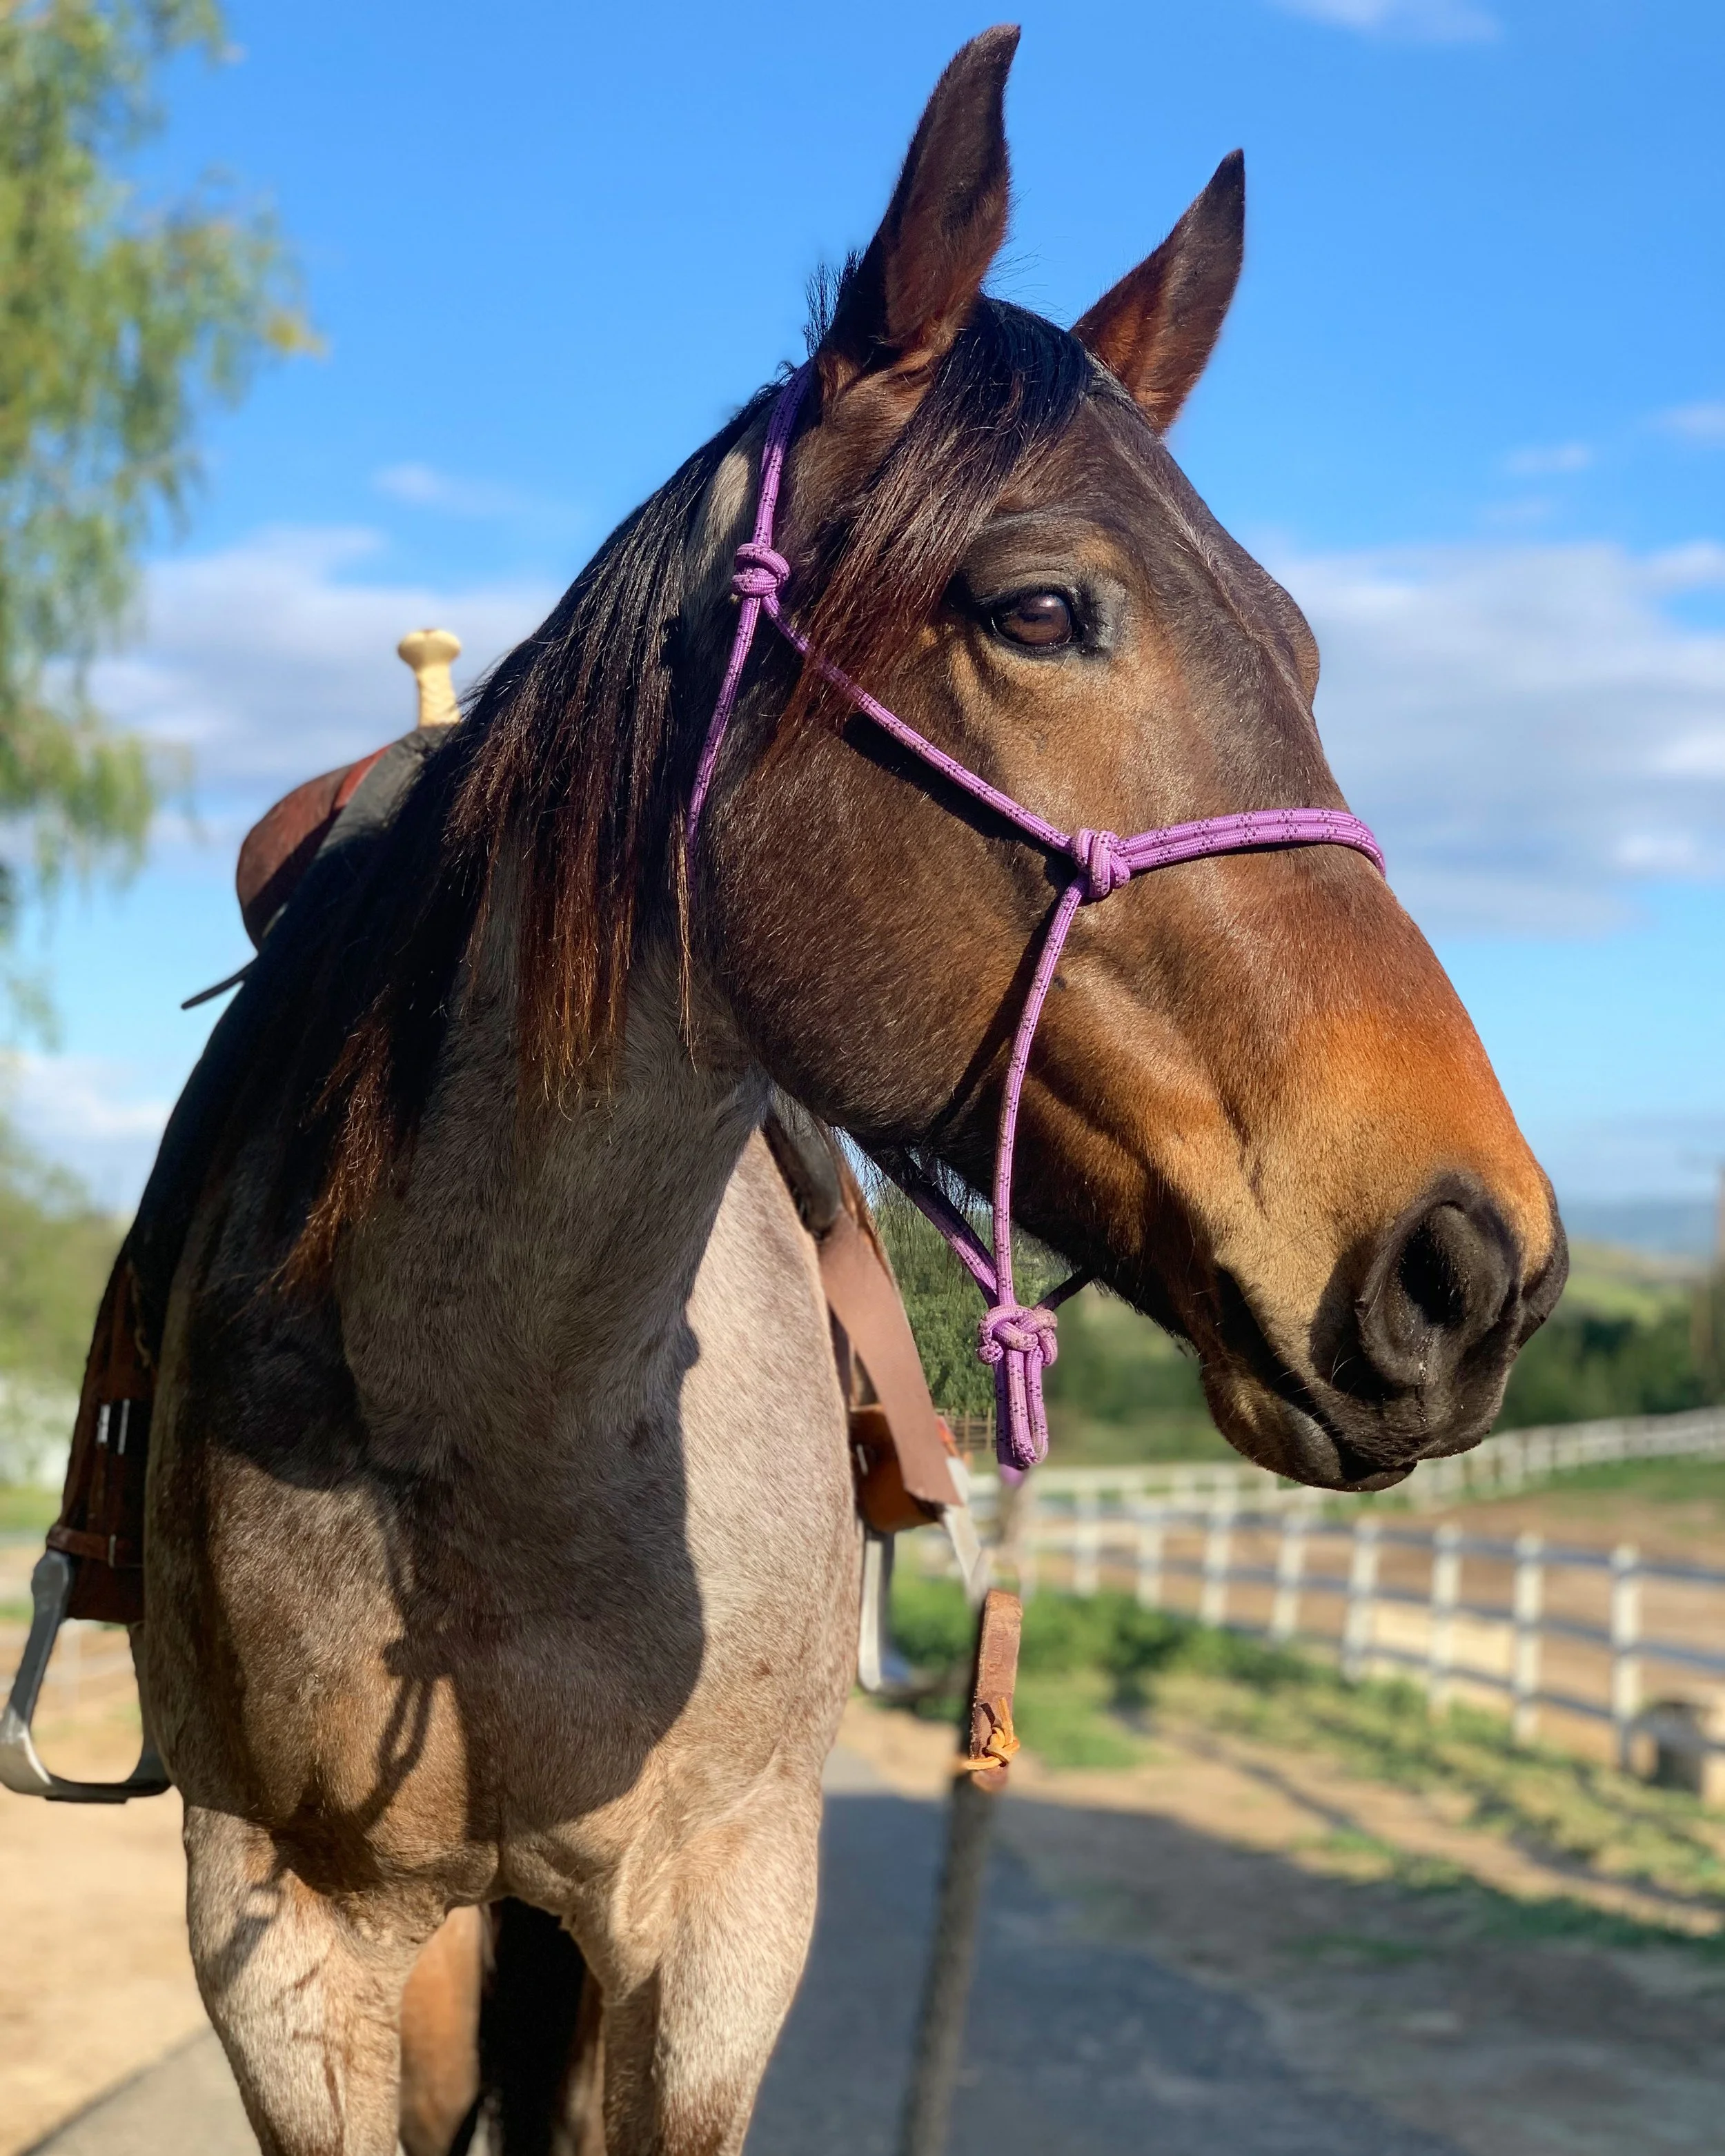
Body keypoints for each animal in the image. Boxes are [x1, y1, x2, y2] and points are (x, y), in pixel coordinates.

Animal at [136, 28, 1565, 2155]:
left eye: (1304, 650)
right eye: (1038, 609)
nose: (1474, 1264)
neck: (493, 1419)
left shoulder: (720, 1922)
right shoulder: (284, 1953)